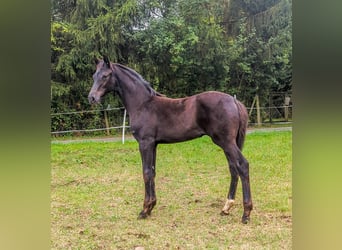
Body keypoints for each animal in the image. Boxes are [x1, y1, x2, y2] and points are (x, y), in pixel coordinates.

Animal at [88, 55, 252, 224]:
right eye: (94, 76)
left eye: (105, 75)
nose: (92, 98)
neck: (143, 104)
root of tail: (234, 101)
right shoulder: (153, 144)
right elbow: (152, 171)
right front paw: (151, 206)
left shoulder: (145, 143)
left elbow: (146, 172)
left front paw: (144, 210)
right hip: (228, 143)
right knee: (233, 168)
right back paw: (226, 207)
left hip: (226, 142)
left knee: (242, 165)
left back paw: (246, 213)